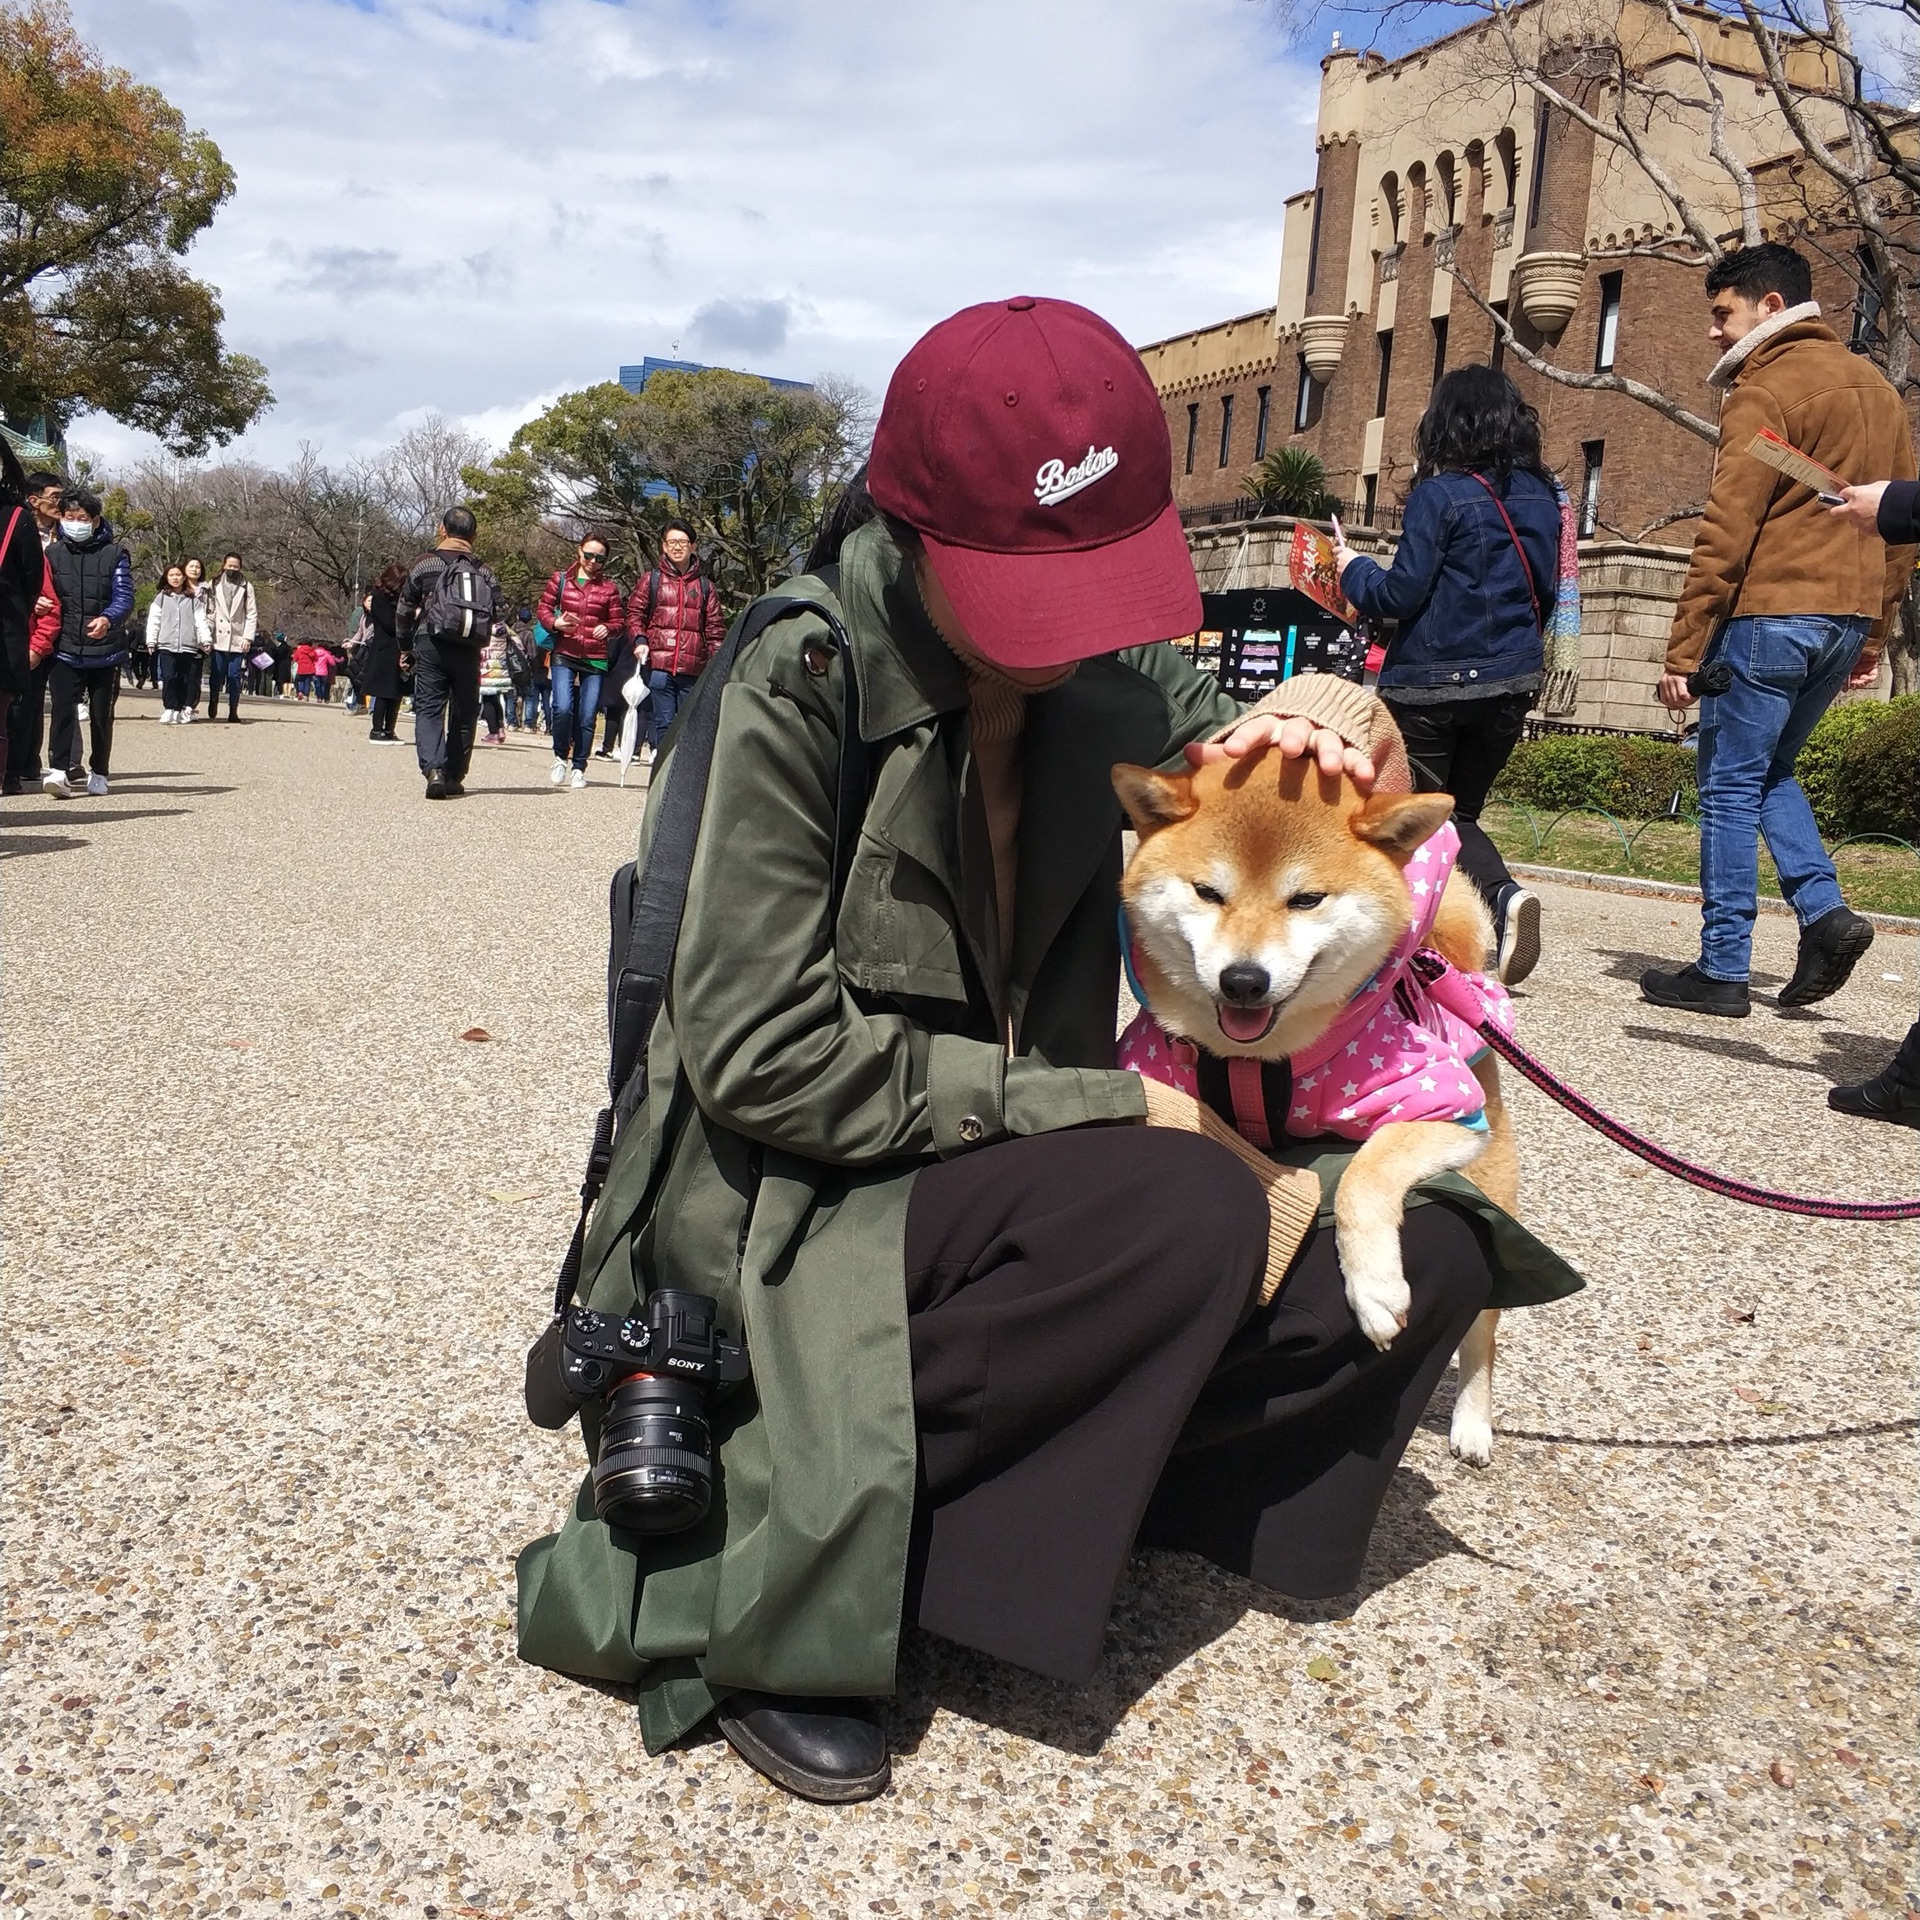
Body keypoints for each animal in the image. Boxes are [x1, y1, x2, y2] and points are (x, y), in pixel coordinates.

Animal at [1113, 741, 1512, 1459]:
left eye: (1306, 900)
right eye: (1208, 892)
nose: (1244, 980)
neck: (1258, 1060)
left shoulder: (1442, 1105)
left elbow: (1364, 1174)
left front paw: (1375, 1286)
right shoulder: (1150, 1073)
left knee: (1483, 1334)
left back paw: (1472, 1422)